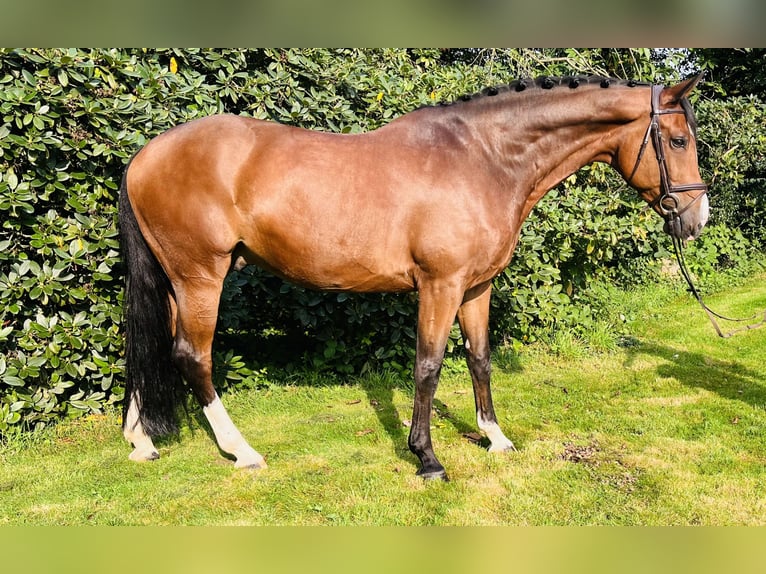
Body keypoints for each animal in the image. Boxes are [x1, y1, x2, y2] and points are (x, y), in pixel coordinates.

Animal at [118, 74, 709, 481]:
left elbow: (478, 358)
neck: (484, 158)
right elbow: (427, 367)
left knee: (149, 349)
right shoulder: (439, 285)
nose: (697, 220)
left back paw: (141, 441)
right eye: (678, 141)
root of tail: (143, 157)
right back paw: (242, 451)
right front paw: (427, 458)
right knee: (192, 356)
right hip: (201, 277)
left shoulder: (476, 287)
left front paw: (495, 438)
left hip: (174, 281)